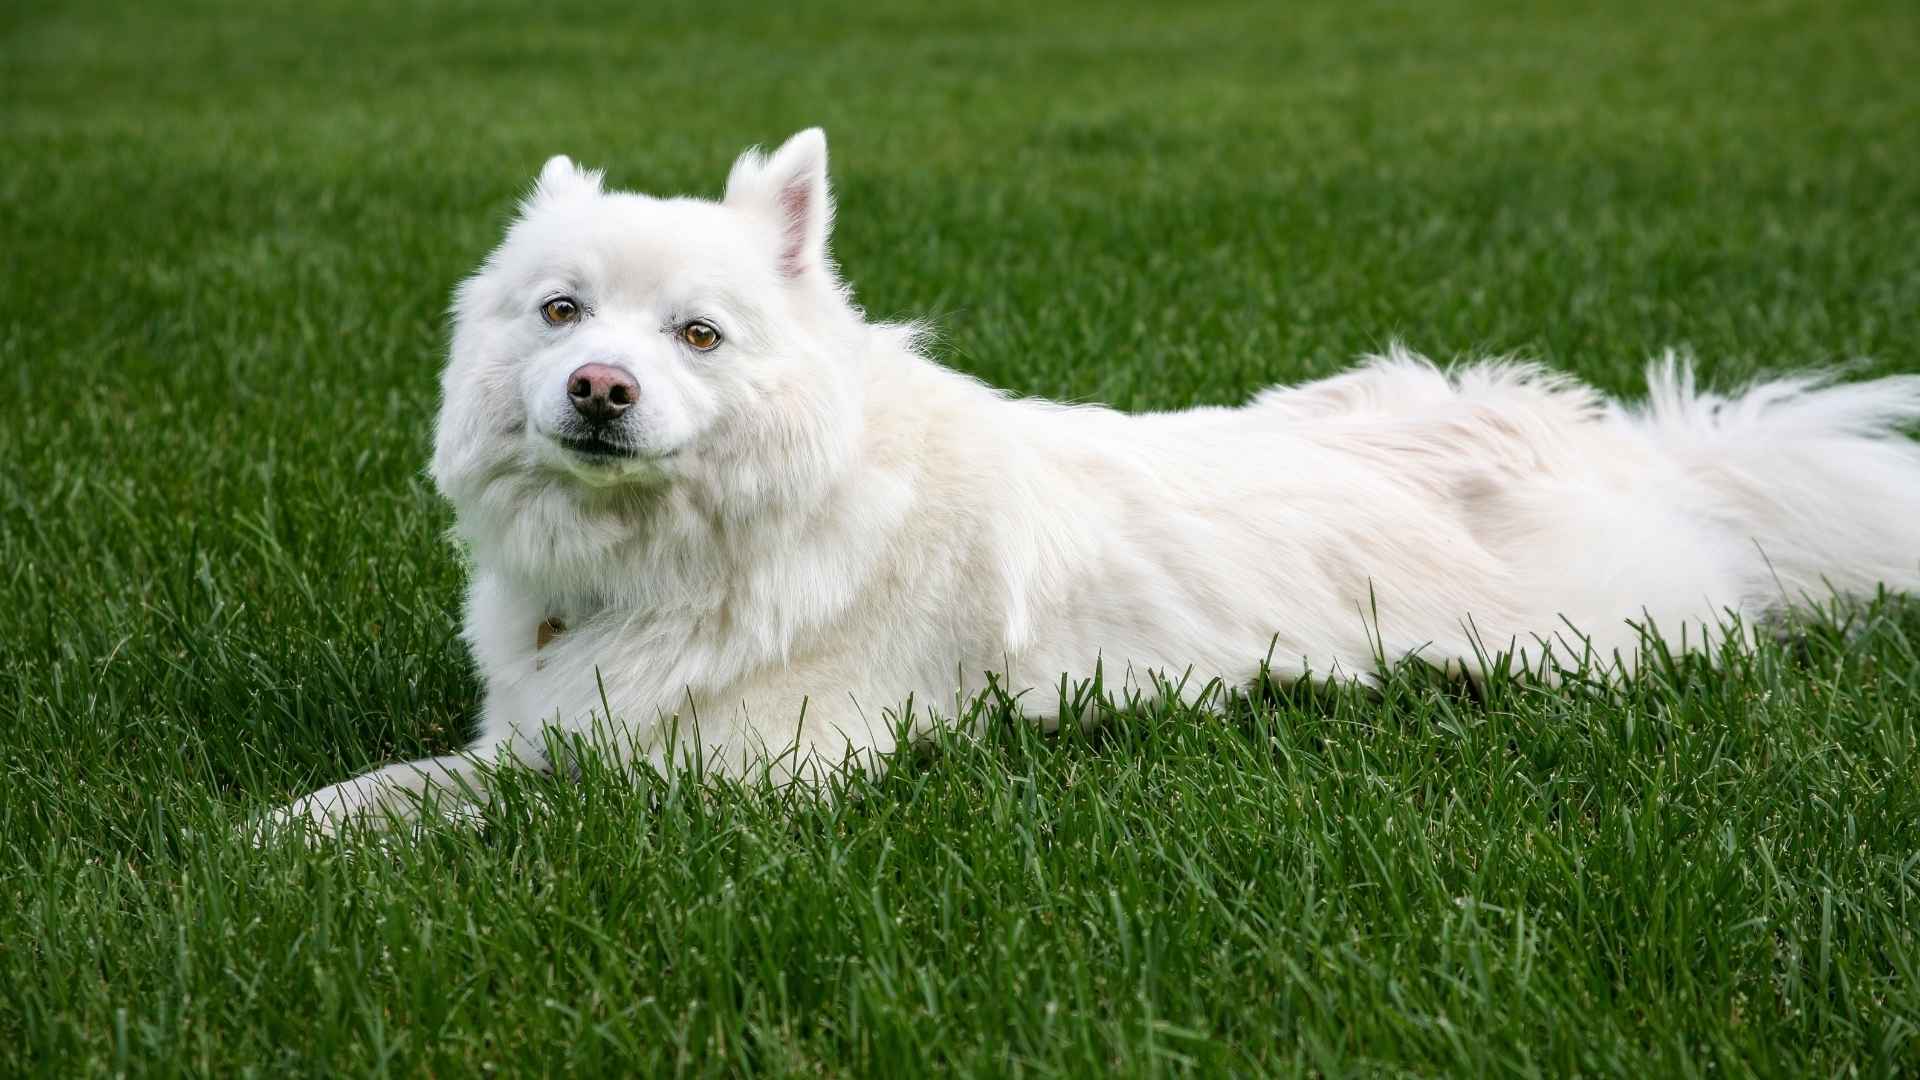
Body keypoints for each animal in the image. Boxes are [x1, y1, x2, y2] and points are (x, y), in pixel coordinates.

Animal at [278, 127, 1920, 834]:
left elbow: (509, 810)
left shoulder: (738, 778)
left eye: (695, 333)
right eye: (562, 313)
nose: (599, 391)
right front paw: (278, 840)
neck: (676, 560)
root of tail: (1635, 446)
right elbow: (404, 785)